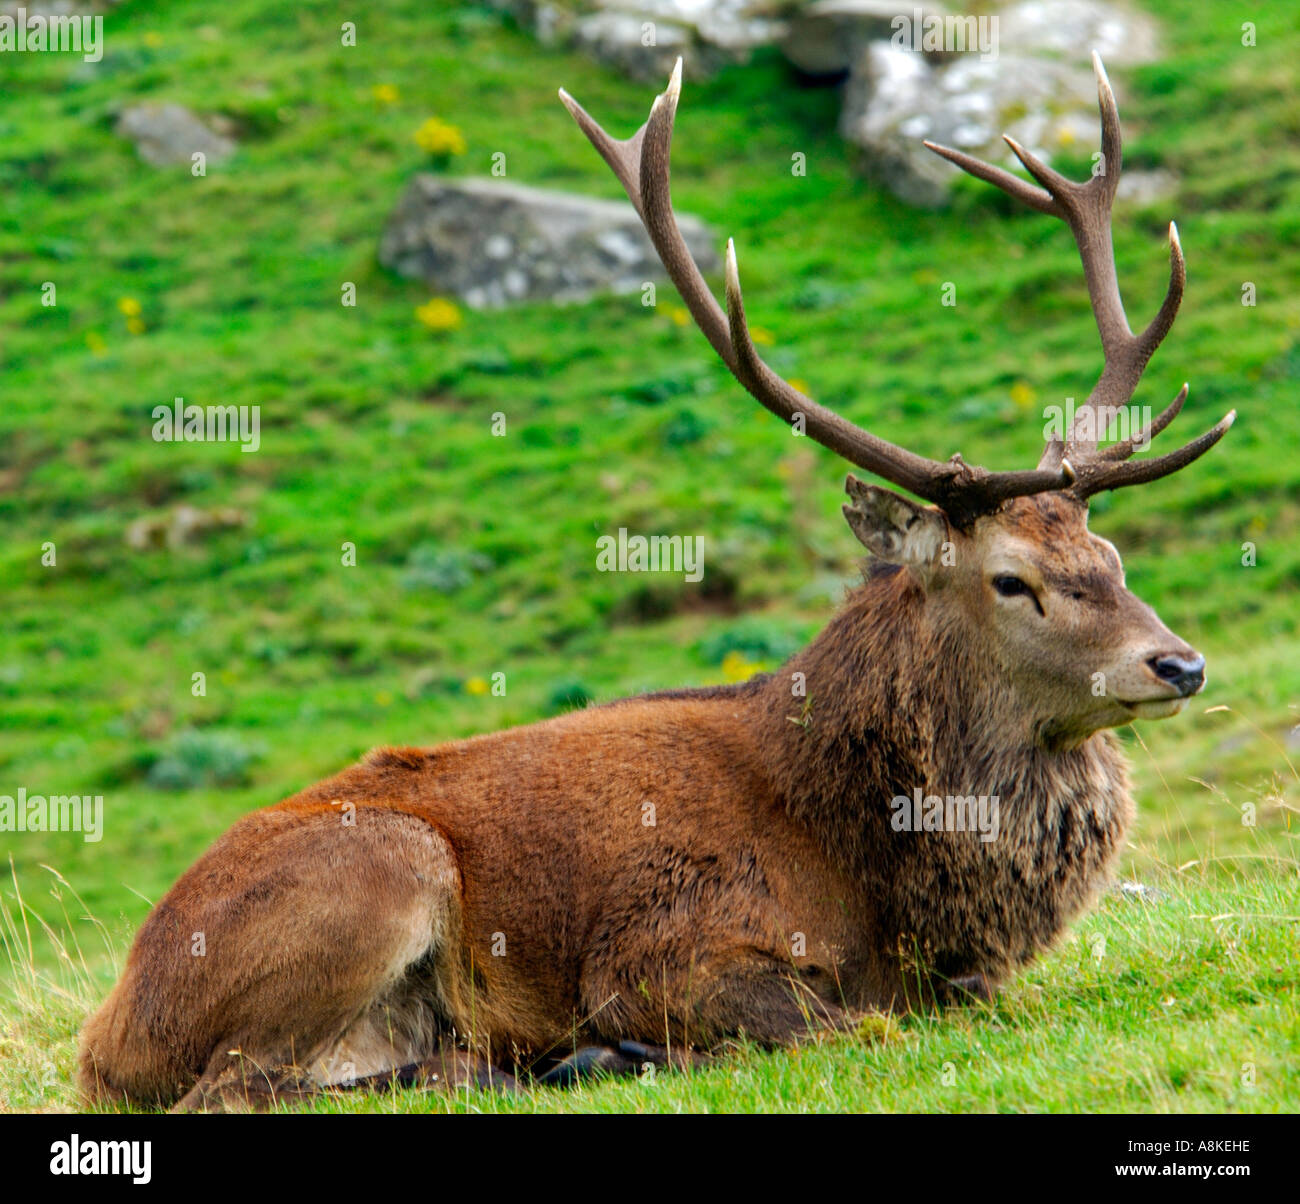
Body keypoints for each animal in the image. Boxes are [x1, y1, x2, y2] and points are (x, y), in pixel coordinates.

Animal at [78, 54, 1233, 1111]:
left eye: (1110, 559)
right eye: (1010, 580)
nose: (1178, 663)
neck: (873, 870)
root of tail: (107, 1040)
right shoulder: (662, 949)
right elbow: (847, 1023)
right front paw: (626, 1046)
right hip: (378, 871)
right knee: (241, 1087)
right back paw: (560, 1061)